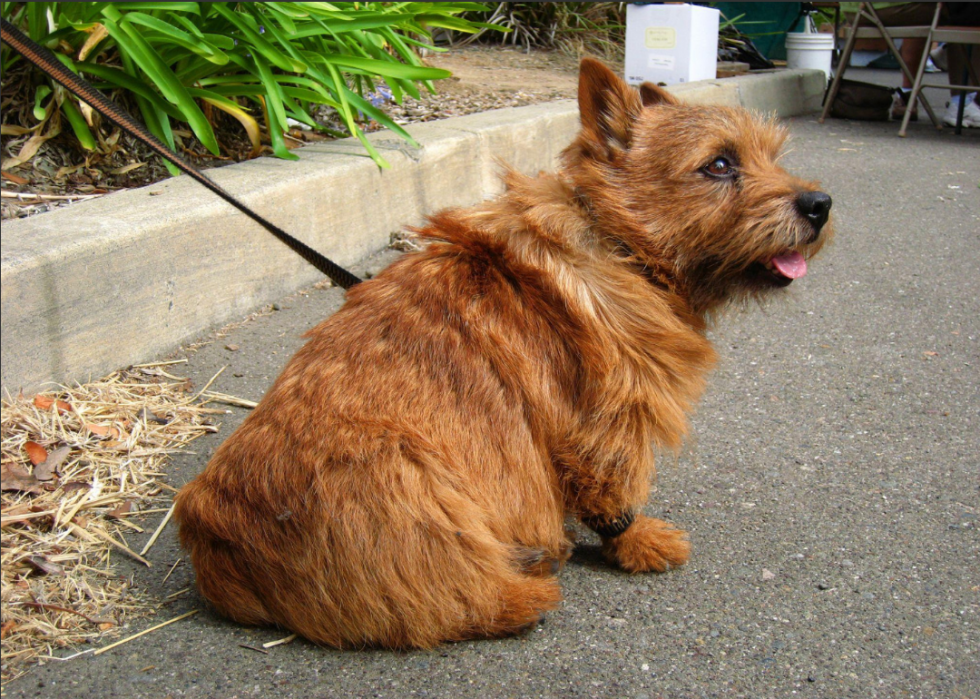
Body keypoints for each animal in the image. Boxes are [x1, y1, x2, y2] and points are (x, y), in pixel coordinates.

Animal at [174, 58, 828, 652]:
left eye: (771, 154)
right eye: (719, 164)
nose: (820, 204)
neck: (618, 243)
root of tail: (212, 538)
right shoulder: (608, 419)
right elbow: (616, 491)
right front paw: (637, 542)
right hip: (407, 476)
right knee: (444, 601)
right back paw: (529, 587)